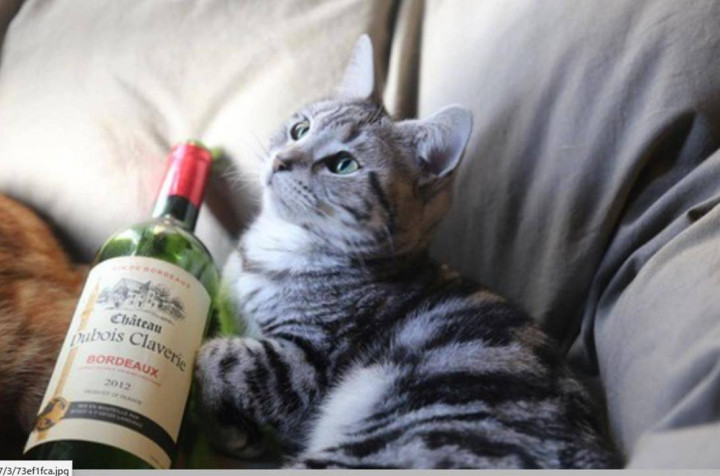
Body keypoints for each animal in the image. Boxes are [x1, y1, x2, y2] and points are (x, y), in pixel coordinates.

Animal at [194, 35, 620, 469]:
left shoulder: (303, 363)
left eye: (343, 164)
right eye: (300, 128)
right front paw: (235, 432)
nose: (281, 161)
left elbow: (216, 356)